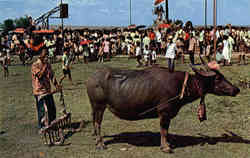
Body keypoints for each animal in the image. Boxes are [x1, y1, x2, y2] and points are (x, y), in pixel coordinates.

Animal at [86, 63, 240, 152]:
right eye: (218, 78)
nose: (236, 89)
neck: (183, 85)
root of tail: (92, 77)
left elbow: (165, 130)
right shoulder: (164, 112)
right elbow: (164, 130)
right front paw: (166, 147)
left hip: (95, 107)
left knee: (94, 121)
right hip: (99, 105)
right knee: (97, 123)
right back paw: (100, 144)